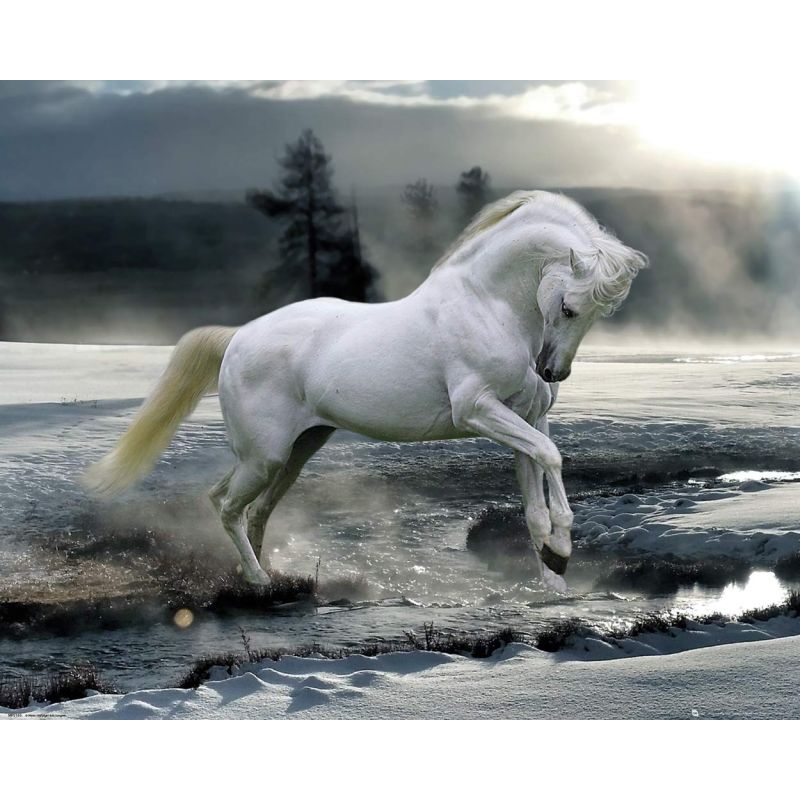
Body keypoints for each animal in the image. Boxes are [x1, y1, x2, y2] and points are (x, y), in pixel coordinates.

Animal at [83, 190, 647, 592]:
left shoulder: (525, 418)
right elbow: (552, 457)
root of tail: (238, 338)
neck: (488, 306)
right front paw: (562, 553)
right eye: (570, 307)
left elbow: (535, 498)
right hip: (265, 457)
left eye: (598, 315)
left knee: (252, 509)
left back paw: (263, 578)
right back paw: (259, 580)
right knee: (226, 505)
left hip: (295, 452)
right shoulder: (477, 411)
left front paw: (553, 576)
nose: (553, 371)